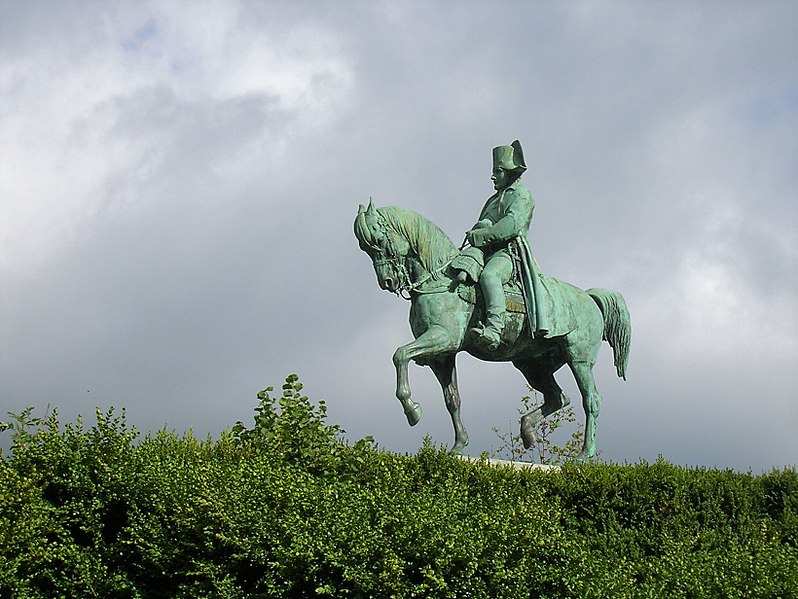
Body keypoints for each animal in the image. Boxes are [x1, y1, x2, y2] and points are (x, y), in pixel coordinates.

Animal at [354, 200, 632, 460]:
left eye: (379, 240)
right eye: (364, 248)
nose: (387, 282)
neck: (439, 280)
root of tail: (588, 297)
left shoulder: (443, 338)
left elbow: (400, 354)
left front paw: (412, 410)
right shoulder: (441, 356)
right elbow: (452, 399)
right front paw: (458, 445)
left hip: (579, 359)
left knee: (591, 400)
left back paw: (584, 454)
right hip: (532, 366)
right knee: (557, 398)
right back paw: (527, 431)